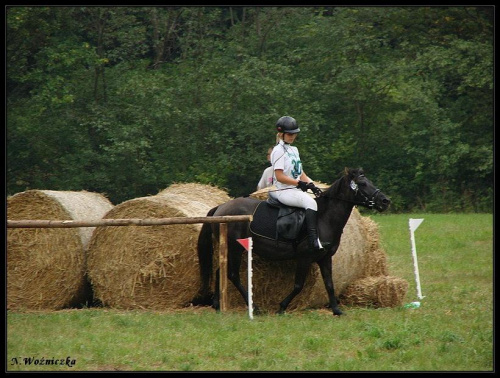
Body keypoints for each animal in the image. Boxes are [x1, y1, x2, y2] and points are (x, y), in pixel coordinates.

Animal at [191, 168, 390, 316]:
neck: (324, 217)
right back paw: (254, 307)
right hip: (235, 248)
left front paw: (336, 310)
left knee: (220, 272)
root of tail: (221, 208)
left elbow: (329, 284)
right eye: (363, 184)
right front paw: (282, 307)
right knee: (232, 275)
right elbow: (298, 285)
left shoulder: (325, 258)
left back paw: (218, 305)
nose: (385, 201)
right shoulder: (304, 258)